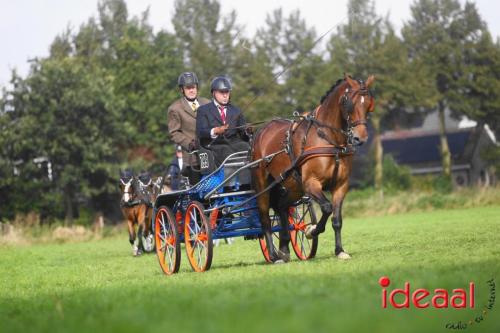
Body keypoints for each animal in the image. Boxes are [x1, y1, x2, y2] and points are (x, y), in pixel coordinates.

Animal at [252, 73, 374, 262]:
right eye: (349, 104)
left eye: (369, 104)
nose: (360, 138)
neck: (328, 139)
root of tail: (261, 131)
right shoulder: (311, 183)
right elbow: (327, 207)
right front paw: (310, 231)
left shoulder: (341, 185)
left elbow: (337, 219)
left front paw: (340, 251)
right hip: (263, 185)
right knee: (265, 217)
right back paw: (273, 255)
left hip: (293, 186)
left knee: (281, 207)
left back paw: (284, 248)